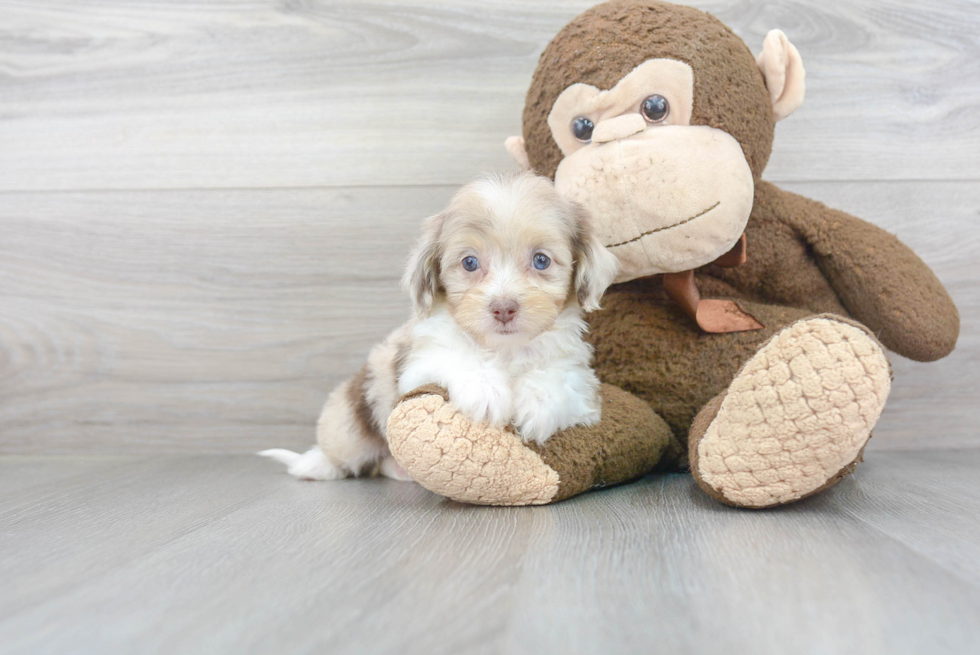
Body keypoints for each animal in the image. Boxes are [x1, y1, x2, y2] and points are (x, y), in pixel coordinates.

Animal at [264, 174, 616, 482]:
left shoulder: (579, 377)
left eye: (541, 260)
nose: (503, 308)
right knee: (343, 451)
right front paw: (485, 392)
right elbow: (459, 358)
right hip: (349, 419)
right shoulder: (421, 362)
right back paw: (315, 464)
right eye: (470, 263)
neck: (504, 349)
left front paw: (538, 405)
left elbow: (558, 377)